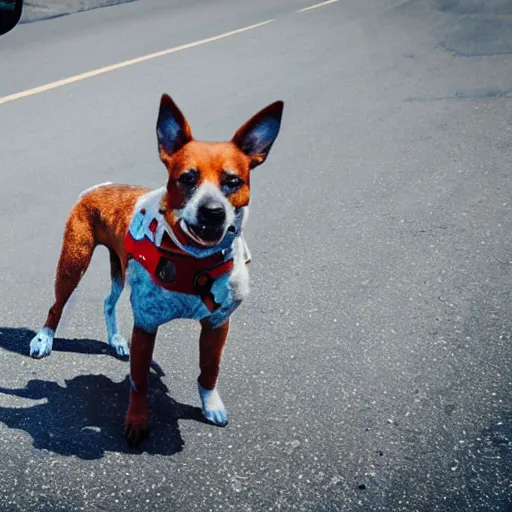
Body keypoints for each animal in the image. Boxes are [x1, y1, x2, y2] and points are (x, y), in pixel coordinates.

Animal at [28, 94, 284, 446]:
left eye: (233, 182)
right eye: (187, 178)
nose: (213, 211)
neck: (195, 261)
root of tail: (100, 186)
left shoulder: (217, 325)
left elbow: (209, 370)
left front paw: (211, 405)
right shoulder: (146, 325)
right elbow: (139, 381)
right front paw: (137, 421)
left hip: (119, 268)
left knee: (108, 302)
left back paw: (116, 339)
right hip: (73, 263)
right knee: (57, 306)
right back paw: (44, 339)